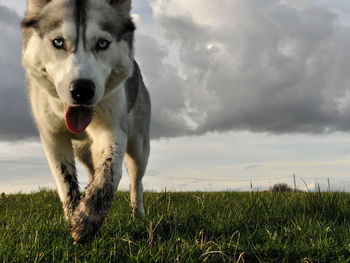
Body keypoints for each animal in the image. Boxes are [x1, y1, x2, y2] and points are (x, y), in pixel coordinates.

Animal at [20, 0, 149, 245]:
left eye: (102, 43)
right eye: (58, 42)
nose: (82, 90)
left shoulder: (112, 130)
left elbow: (110, 174)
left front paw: (87, 221)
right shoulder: (52, 138)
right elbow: (65, 180)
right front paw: (75, 215)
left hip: (139, 148)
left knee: (135, 182)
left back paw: (138, 215)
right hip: (82, 150)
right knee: (91, 171)